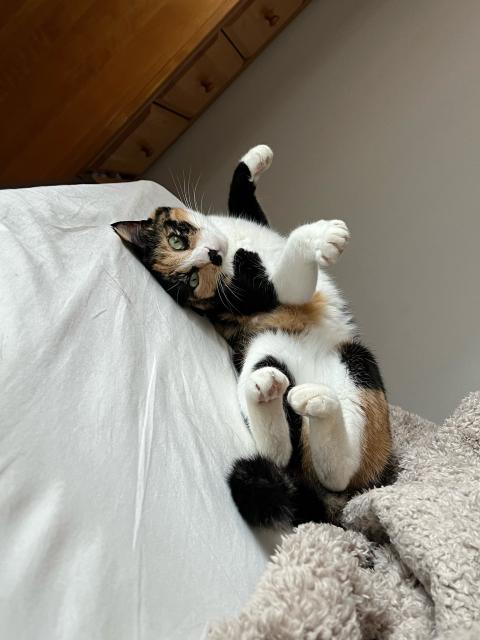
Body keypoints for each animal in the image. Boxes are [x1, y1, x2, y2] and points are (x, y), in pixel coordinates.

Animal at [113, 146, 394, 528]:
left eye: (177, 239)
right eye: (191, 280)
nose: (213, 255)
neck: (236, 246)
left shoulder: (251, 221)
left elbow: (240, 190)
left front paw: (258, 156)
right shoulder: (260, 293)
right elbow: (291, 272)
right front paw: (322, 236)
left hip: (352, 360)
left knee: (311, 458)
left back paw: (307, 400)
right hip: (267, 346)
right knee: (301, 460)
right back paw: (268, 389)